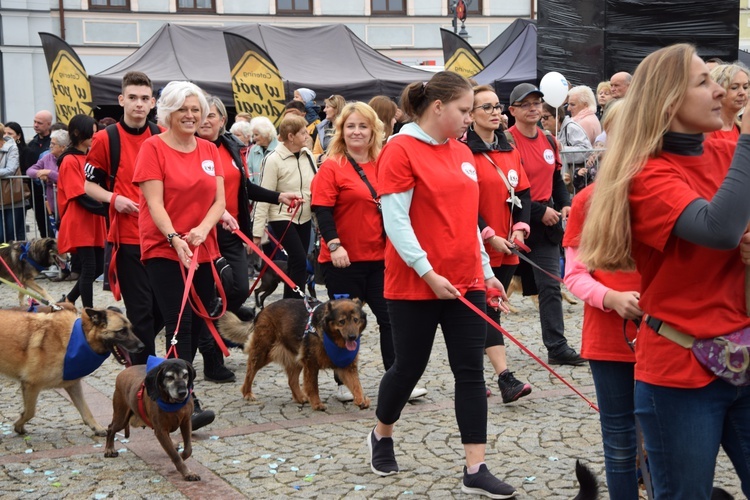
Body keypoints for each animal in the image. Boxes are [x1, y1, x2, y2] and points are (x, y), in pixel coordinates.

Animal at [0, 304, 144, 434]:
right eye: (122, 331)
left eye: (131, 329)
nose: (142, 347)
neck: (81, 337)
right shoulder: (31, 385)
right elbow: (30, 412)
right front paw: (18, 425)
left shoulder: (73, 384)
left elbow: (86, 410)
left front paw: (96, 427)